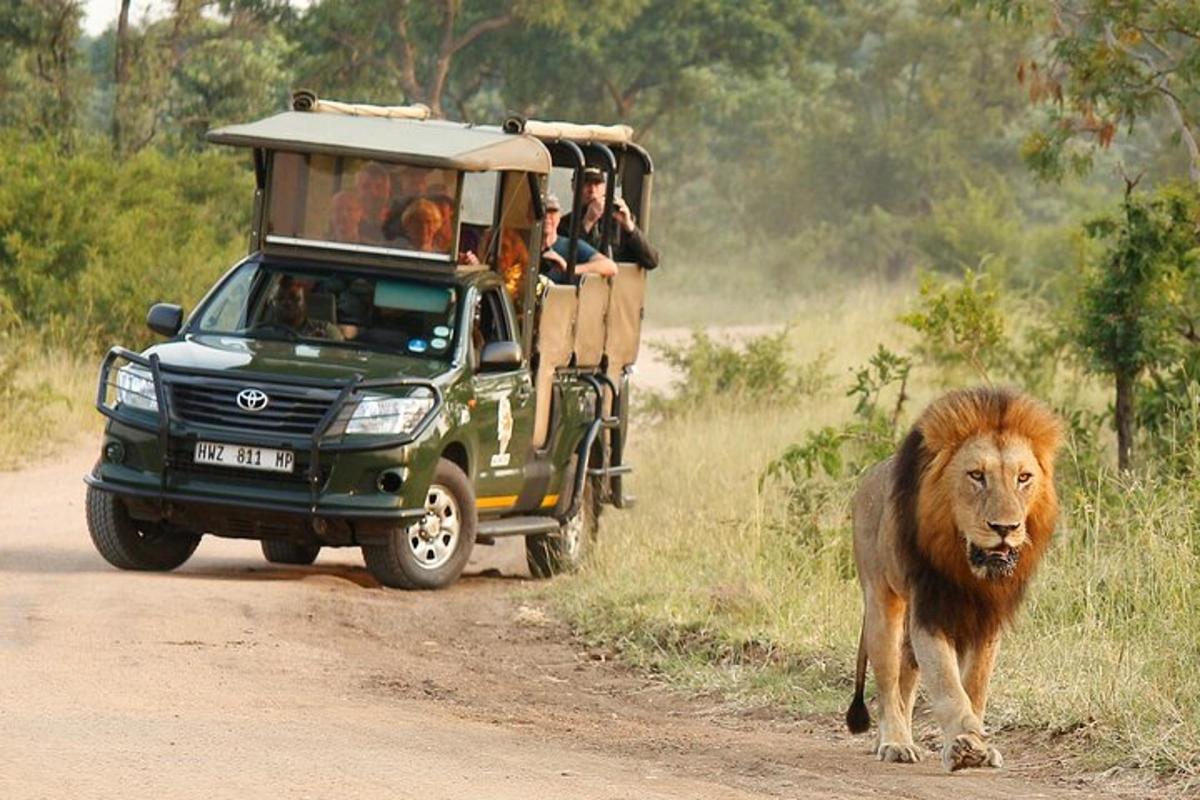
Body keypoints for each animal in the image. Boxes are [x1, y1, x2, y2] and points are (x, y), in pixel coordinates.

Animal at [844, 388, 1060, 777]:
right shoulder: (930, 612)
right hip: (882, 601)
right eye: (976, 475)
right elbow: (946, 682)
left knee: (906, 678)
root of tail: (869, 475)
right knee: (888, 680)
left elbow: (975, 684)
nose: (1005, 528)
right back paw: (894, 742)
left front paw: (978, 746)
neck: (966, 567)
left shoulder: (987, 620)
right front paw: (965, 742)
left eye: (1023, 478)